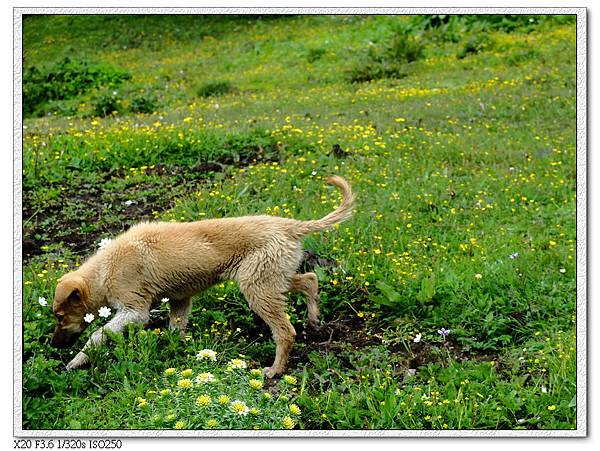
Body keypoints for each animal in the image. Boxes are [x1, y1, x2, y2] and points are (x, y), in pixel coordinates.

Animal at [51, 177, 354, 378]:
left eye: (60, 316)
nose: (53, 345)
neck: (104, 270)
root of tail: (289, 225)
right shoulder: (180, 300)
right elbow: (175, 330)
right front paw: (176, 351)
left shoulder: (134, 311)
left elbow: (97, 334)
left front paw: (76, 362)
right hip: (270, 280)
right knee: (310, 279)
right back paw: (314, 319)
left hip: (257, 287)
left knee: (286, 331)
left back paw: (275, 370)